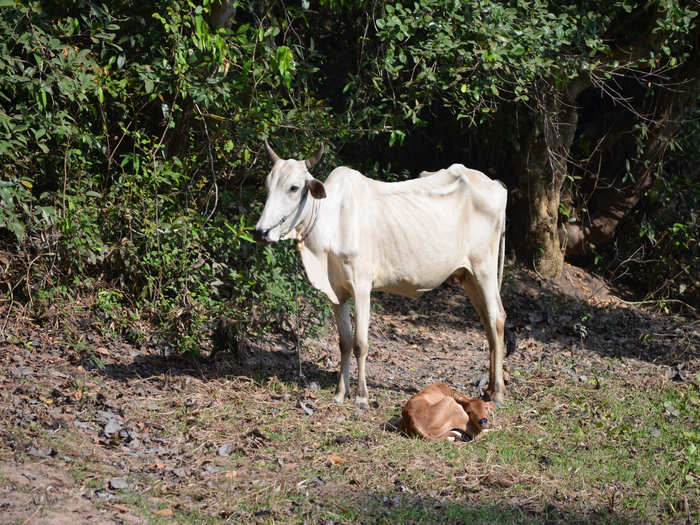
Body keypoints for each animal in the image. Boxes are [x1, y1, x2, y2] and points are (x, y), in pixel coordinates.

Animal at [254, 143, 506, 410]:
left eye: (293, 187)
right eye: (268, 185)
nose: (260, 232)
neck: (332, 222)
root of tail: (496, 185)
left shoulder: (362, 288)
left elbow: (360, 343)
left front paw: (361, 396)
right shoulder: (337, 294)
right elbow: (344, 342)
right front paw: (340, 393)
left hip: (484, 268)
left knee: (497, 318)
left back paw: (498, 393)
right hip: (468, 275)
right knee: (487, 321)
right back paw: (489, 389)